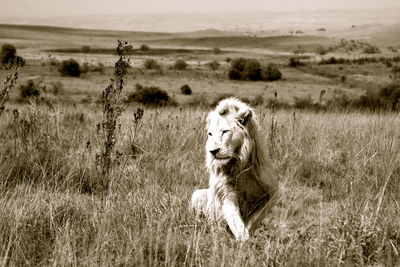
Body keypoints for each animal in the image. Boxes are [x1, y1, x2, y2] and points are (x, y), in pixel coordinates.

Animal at [191, 97, 278, 242]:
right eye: (210, 134)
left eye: (225, 131)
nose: (213, 151)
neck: (240, 163)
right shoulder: (226, 193)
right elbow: (235, 220)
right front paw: (242, 240)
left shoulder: (269, 193)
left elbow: (254, 219)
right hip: (197, 195)